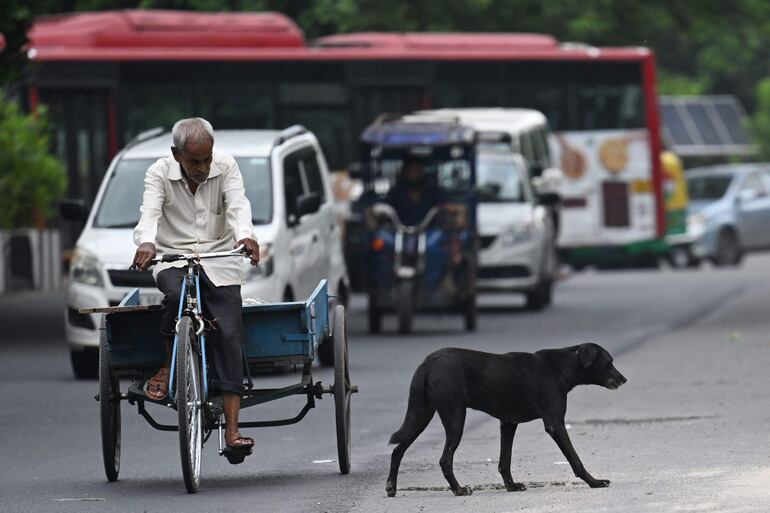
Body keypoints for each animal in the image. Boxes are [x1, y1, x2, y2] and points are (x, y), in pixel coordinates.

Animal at [388, 342, 628, 494]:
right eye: (609, 362)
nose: (624, 379)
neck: (561, 367)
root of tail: (427, 363)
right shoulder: (555, 424)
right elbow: (575, 458)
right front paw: (594, 482)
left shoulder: (508, 423)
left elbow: (505, 461)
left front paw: (511, 487)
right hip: (455, 417)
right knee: (444, 459)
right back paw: (459, 489)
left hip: (420, 415)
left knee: (397, 449)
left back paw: (391, 487)